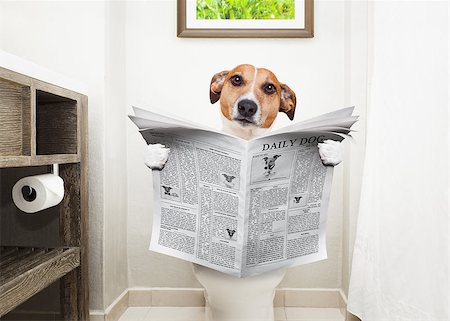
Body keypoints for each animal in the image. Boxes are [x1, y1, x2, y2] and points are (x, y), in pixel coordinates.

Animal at [144, 64, 342, 170]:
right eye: (236, 79)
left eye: (270, 87)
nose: (247, 106)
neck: (245, 138)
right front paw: (156, 154)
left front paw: (330, 151)